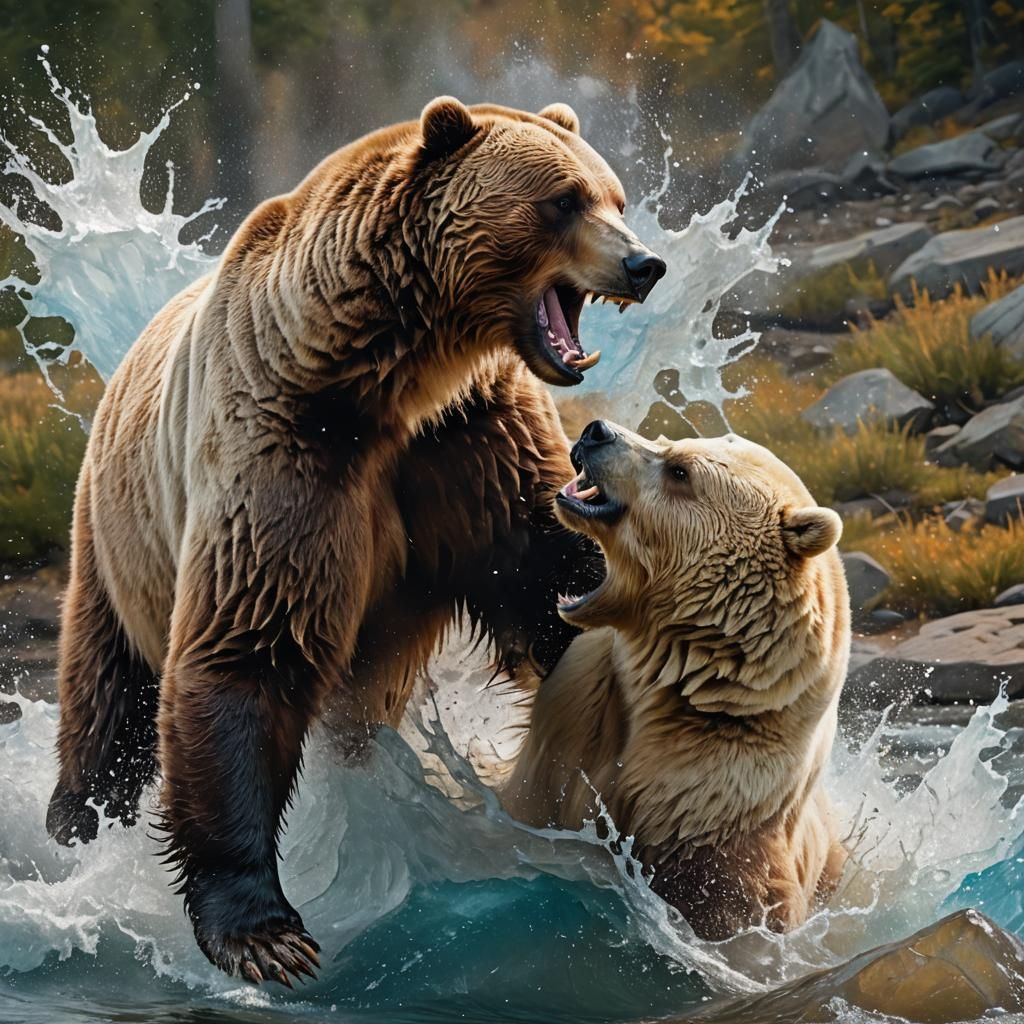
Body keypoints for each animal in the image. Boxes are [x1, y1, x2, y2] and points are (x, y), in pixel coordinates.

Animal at [44, 98, 666, 984]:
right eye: (562, 201)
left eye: (614, 196)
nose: (644, 263)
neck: (395, 376)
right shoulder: (288, 444)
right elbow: (248, 648)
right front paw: (265, 934)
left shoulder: (476, 445)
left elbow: (551, 585)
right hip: (116, 537)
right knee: (107, 700)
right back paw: (79, 828)